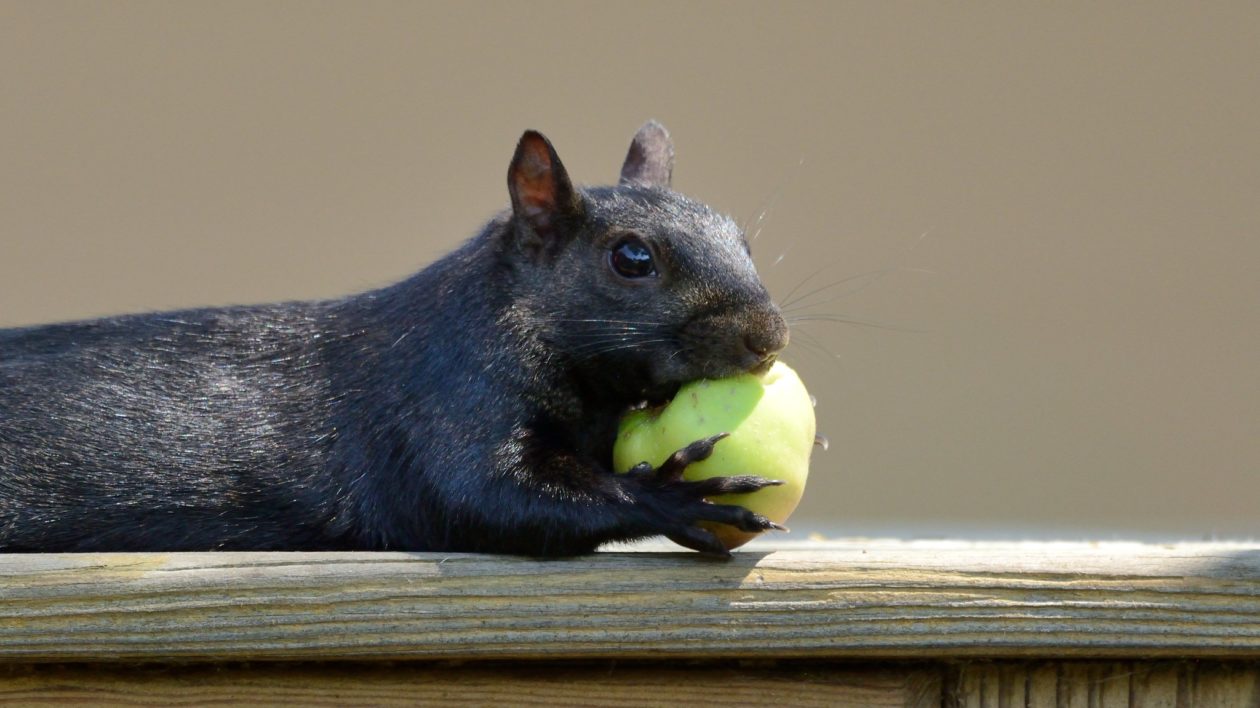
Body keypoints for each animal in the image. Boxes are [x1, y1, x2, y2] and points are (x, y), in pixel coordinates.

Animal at [0, 120, 786, 554]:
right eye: (631, 258)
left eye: (742, 237)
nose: (768, 335)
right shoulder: (444, 399)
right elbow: (485, 496)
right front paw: (675, 496)